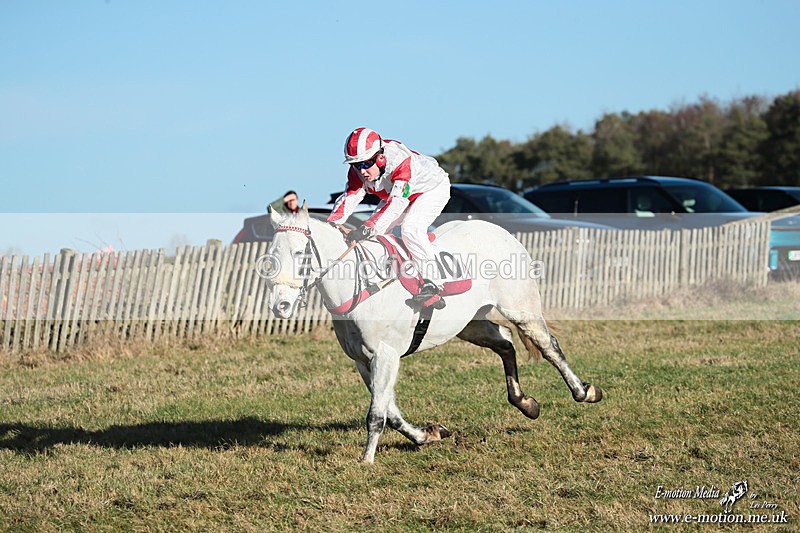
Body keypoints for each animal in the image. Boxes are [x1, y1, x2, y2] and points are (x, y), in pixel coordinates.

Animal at [265, 203, 602, 463]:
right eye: (271, 254)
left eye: (301, 253)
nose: (280, 305)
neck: (361, 287)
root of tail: (502, 233)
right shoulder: (363, 361)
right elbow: (390, 410)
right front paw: (427, 435)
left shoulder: (386, 355)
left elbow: (377, 413)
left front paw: (366, 459)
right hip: (470, 324)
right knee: (506, 342)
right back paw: (525, 403)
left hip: (522, 308)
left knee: (548, 345)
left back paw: (584, 391)